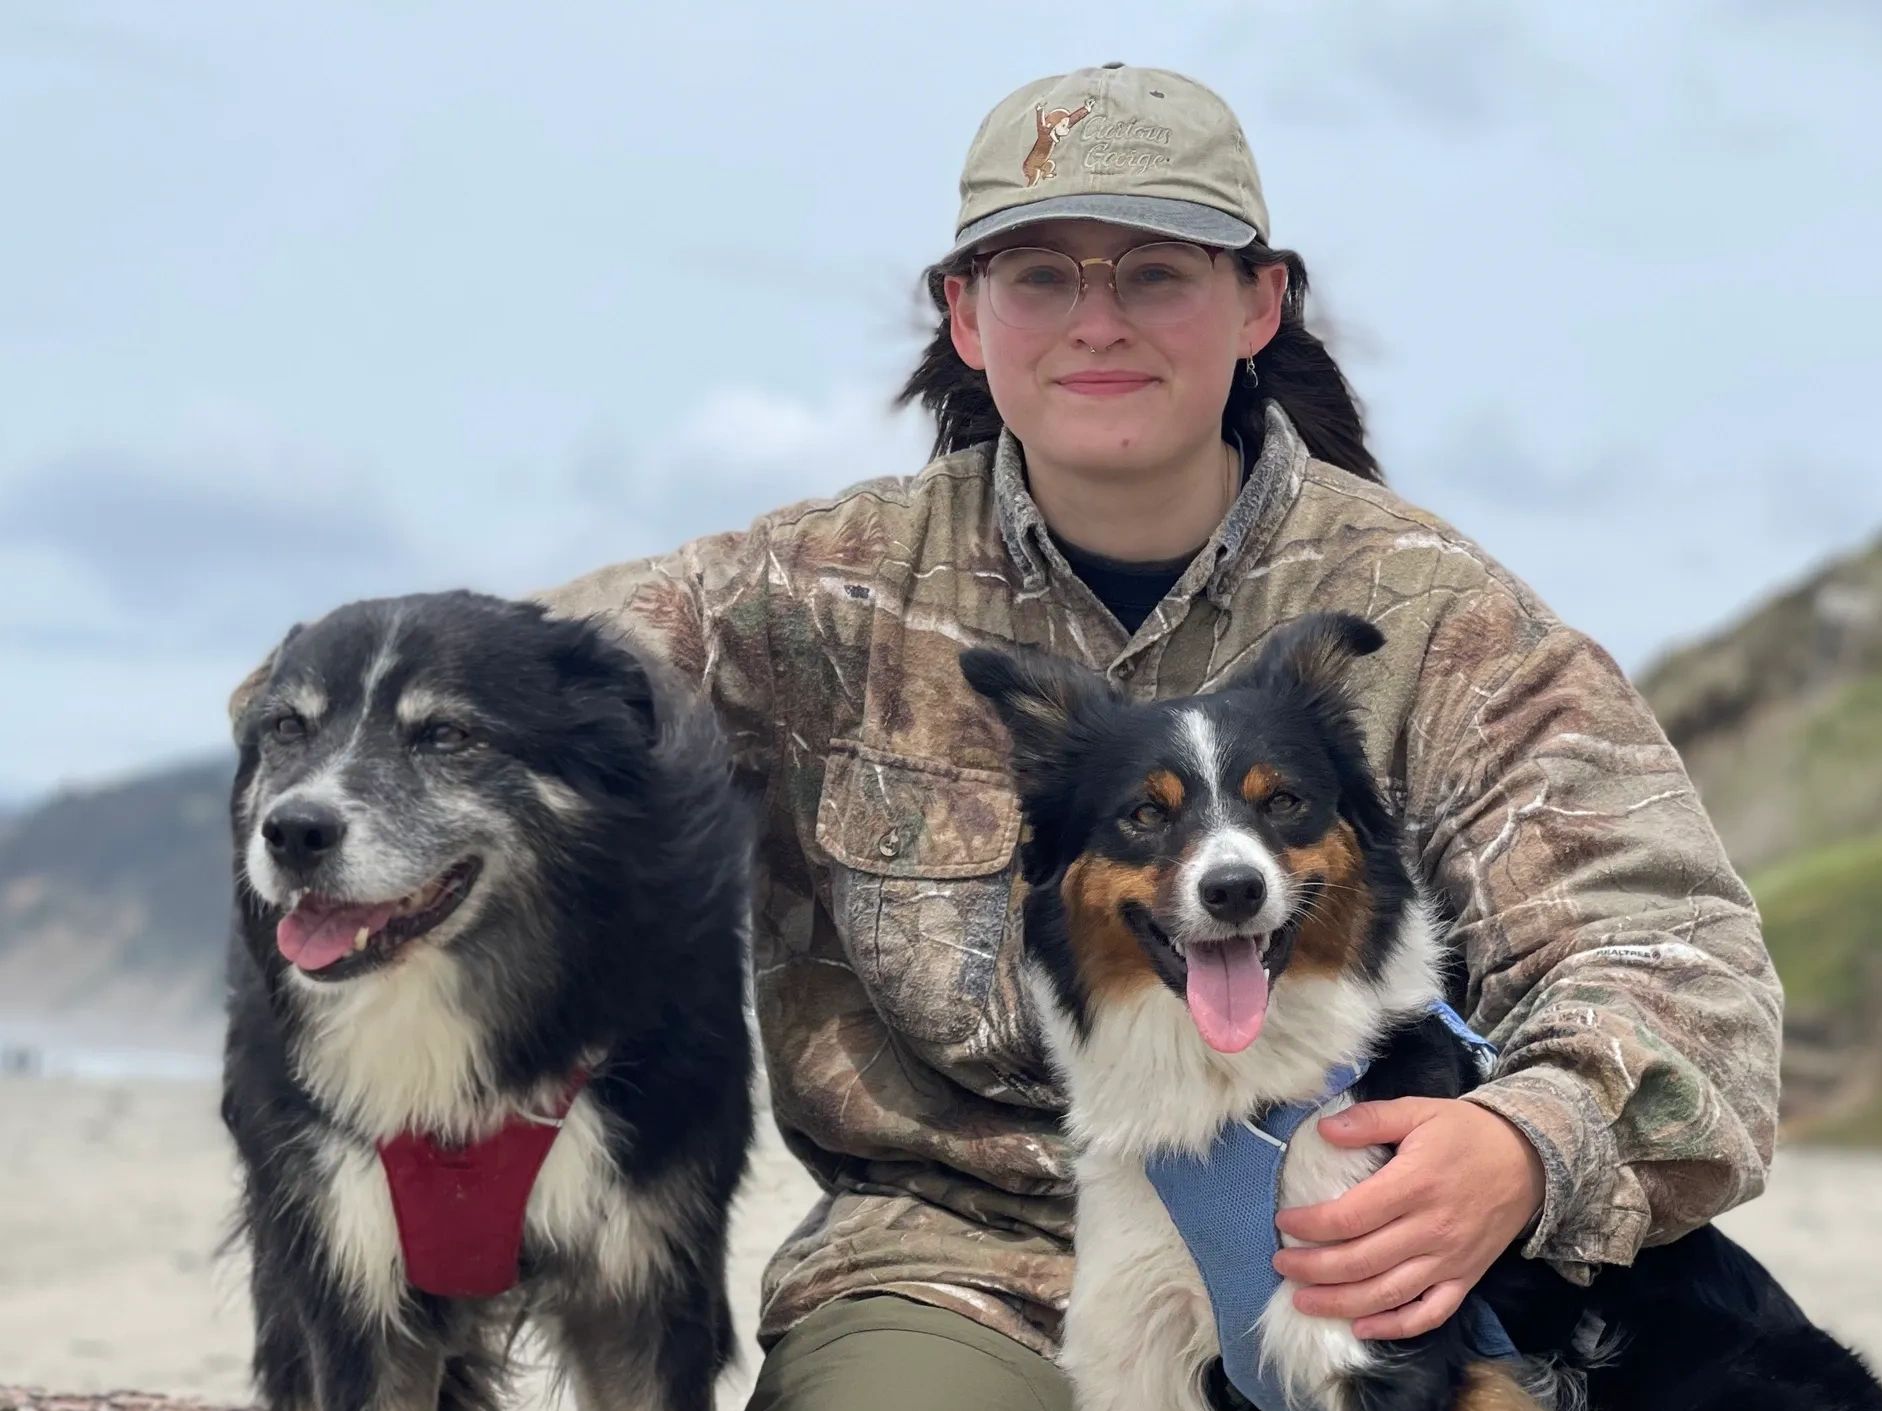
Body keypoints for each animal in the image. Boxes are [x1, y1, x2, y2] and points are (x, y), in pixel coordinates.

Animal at [963, 624, 1874, 1411]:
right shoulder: (1144, 1350)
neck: (1240, 1103)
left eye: (1283, 801)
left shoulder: (1376, 1338)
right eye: (1145, 814)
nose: (1234, 890)